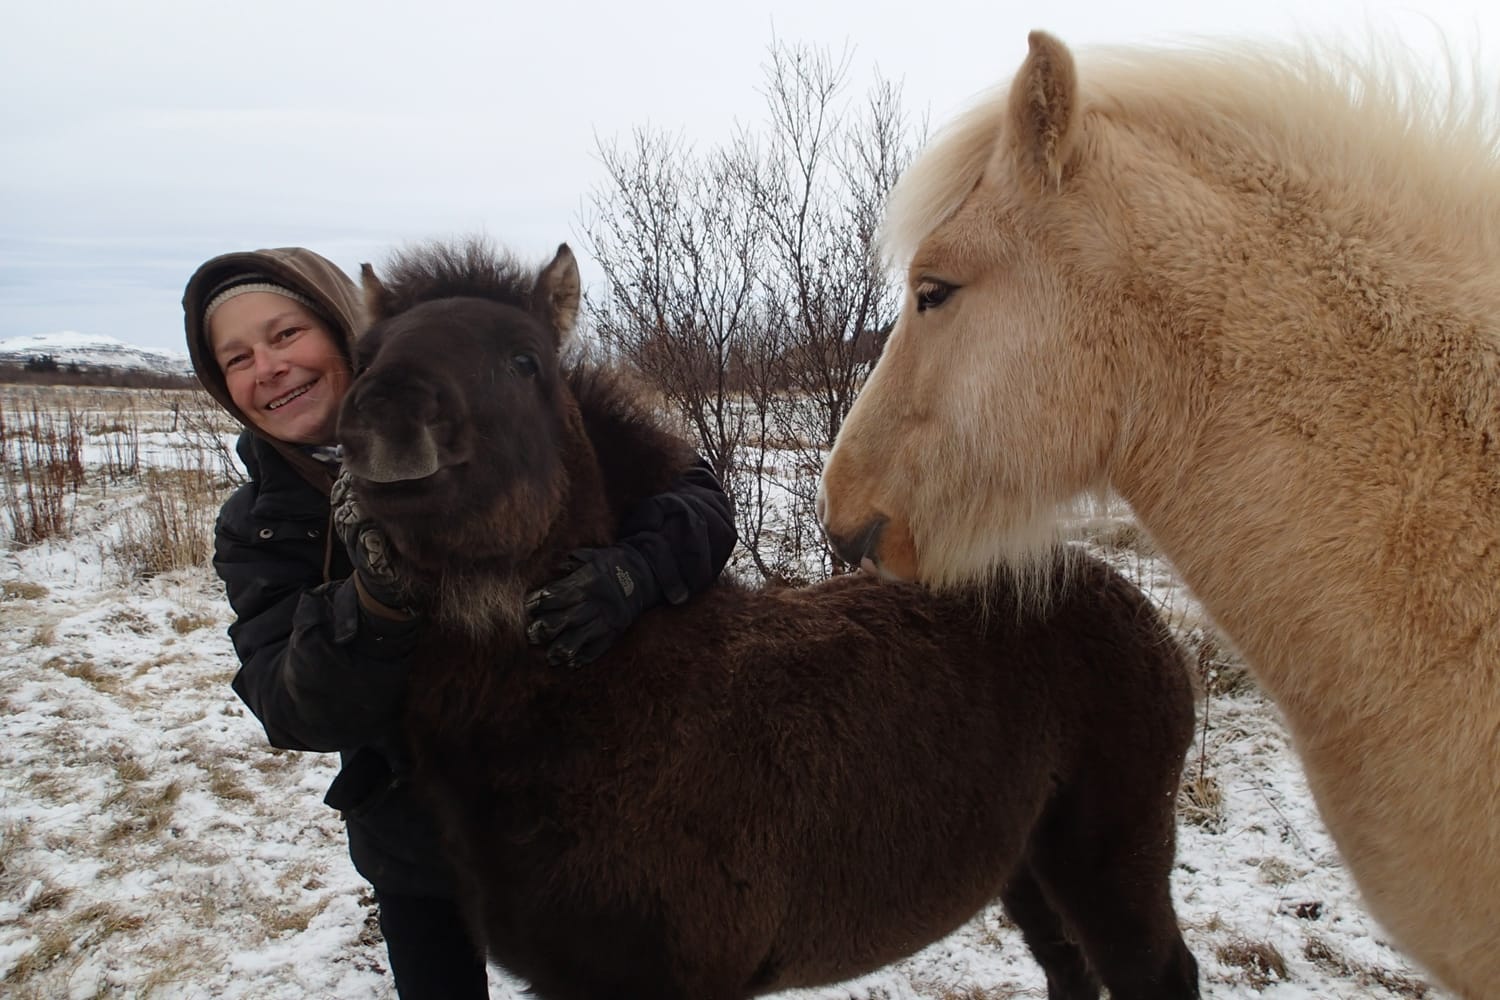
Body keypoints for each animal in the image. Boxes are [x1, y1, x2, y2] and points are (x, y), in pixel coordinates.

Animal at [335, 237, 1201, 1000]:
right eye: (365, 353)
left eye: (525, 361)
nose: (383, 412)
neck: (614, 695)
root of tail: (1134, 610)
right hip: (1026, 866)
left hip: (1111, 857)